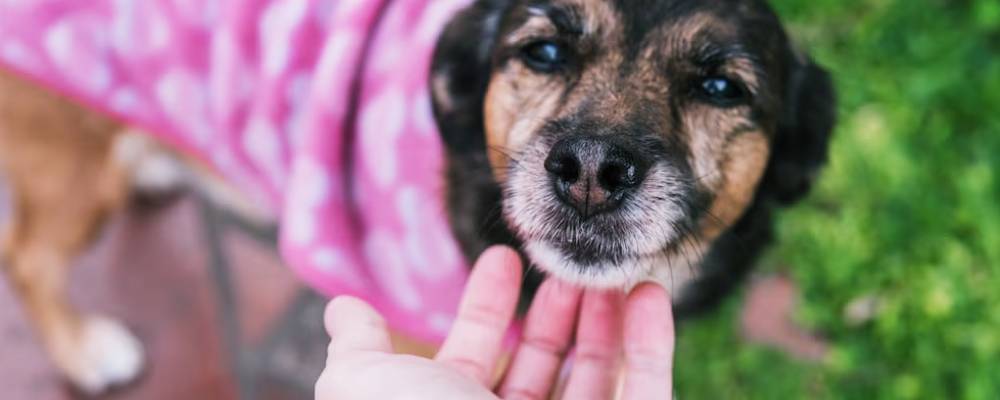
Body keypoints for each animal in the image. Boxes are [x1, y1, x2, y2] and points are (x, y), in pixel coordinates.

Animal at [0, 0, 832, 394]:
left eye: (721, 88)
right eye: (544, 51)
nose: (591, 169)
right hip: (66, 162)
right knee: (26, 258)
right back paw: (86, 351)